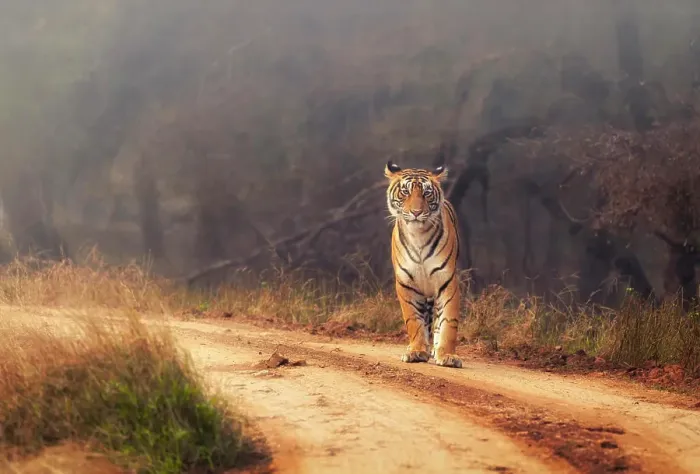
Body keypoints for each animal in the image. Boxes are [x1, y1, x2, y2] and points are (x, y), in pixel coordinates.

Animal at [384, 160, 463, 368]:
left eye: (427, 193)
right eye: (405, 192)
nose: (416, 212)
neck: (418, 236)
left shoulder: (447, 281)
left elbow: (448, 321)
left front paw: (447, 355)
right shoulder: (406, 283)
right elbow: (414, 320)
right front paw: (417, 351)